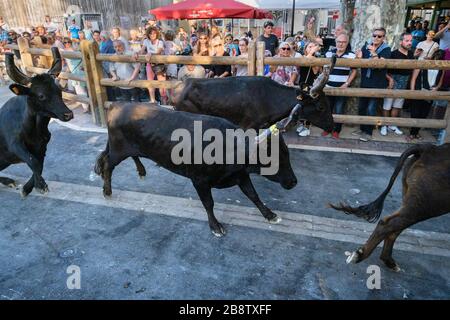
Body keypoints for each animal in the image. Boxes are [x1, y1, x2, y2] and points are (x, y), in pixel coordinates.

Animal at [96, 104, 296, 236]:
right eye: (273, 159)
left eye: (287, 154)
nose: (294, 182)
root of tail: (118, 105)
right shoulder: (200, 181)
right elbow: (209, 203)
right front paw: (215, 226)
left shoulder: (241, 175)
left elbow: (253, 195)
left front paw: (270, 215)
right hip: (118, 150)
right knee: (107, 164)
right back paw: (107, 190)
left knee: (130, 156)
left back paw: (141, 171)